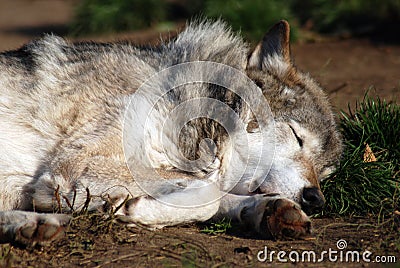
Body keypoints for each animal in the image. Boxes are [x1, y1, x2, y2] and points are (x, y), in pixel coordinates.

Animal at [0, 19, 340, 245]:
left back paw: (36, 225)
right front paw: (134, 208)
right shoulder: (80, 169)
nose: (316, 198)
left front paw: (270, 210)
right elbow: (211, 195)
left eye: (325, 173)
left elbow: (216, 195)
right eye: (297, 137)